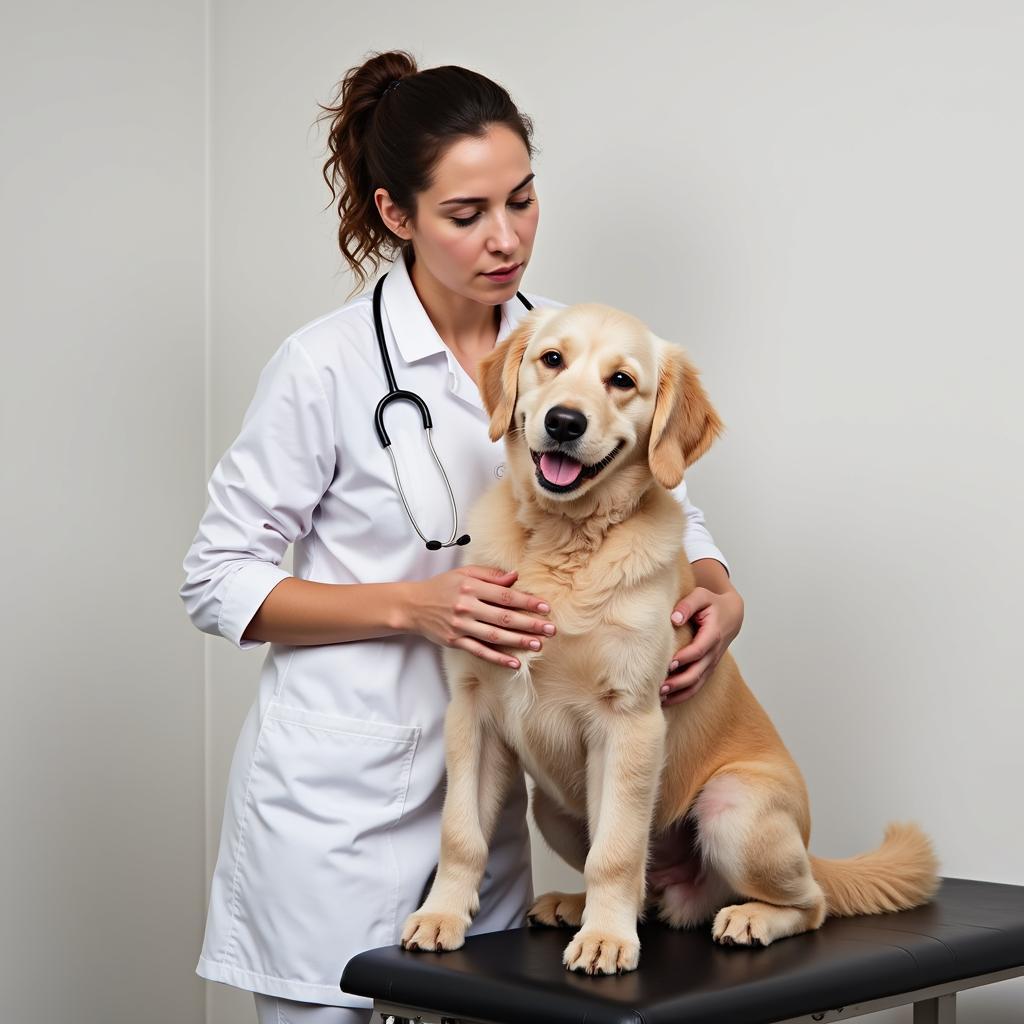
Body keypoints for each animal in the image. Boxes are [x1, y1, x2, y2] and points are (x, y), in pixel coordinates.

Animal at [397, 301, 937, 974]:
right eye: (552, 359)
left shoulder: (630, 721)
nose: (564, 422)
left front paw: (606, 939)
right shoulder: (473, 712)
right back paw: (577, 906)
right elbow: (460, 833)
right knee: (647, 892)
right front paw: (442, 916)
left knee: (810, 903)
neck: (565, 541)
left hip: (733, 808)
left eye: (622, 381)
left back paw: (748, 917)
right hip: (552, 807)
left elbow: (616, 850)